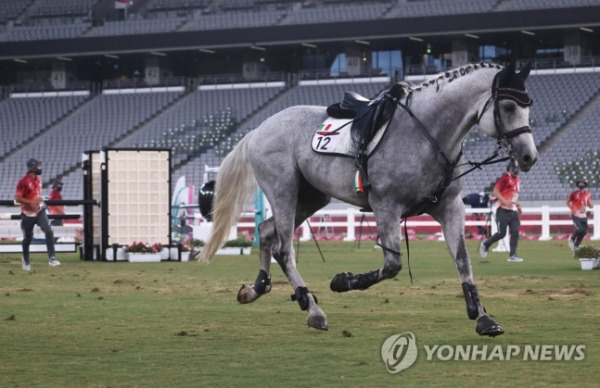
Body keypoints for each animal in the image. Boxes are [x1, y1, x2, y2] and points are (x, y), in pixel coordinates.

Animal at [199, 62, 536, 334]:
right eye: (508, 107)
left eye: (528, 106)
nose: (529, 156)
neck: (426, 134)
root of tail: (259, 129)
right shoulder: (386, 207)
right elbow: (392, 265)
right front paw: (342, 281)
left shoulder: (450, 208)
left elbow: (463, 261)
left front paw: (482, 316)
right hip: (284, 191)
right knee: (284, 249)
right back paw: (313, 310)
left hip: (311, 198)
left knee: (266, 232)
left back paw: (257, 289)